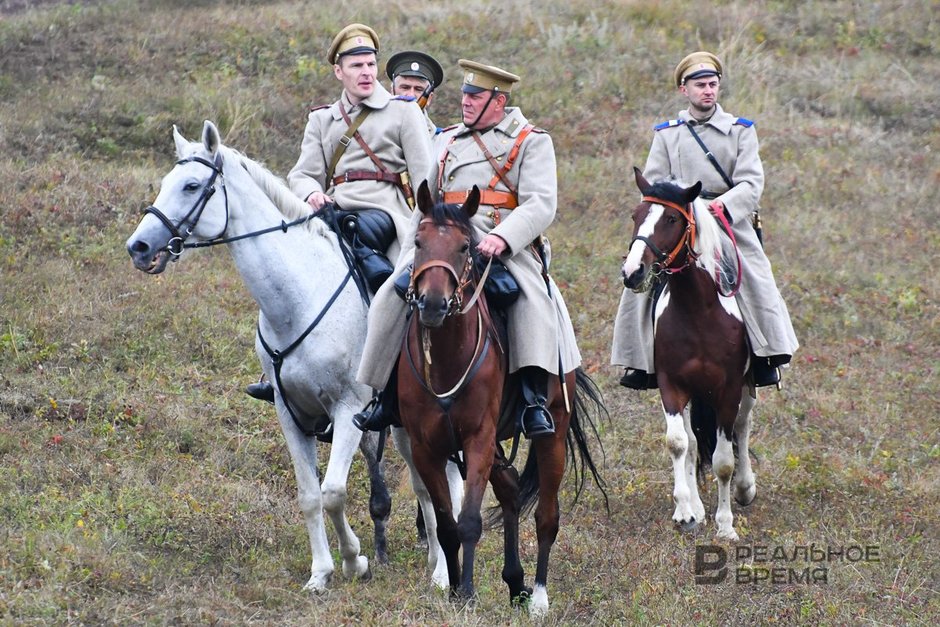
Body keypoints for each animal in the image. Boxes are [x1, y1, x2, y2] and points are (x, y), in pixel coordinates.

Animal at [125, 120, 462, 592]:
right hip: (401, 426)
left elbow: (334, 493)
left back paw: (443, 574)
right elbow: (309, 496)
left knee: (445, 483)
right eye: (165, 183)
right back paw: (435, 561)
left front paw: (355, 560)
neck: (299, 297)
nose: (138, 247)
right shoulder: (290, 413)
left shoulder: (349, 410)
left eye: (192, 185)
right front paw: (321, 573)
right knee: (425, 487)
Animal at [398, 182, 604, 620]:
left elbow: (469, 521)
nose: (433, 305)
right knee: (509, 492)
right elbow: (446, 525)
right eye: (418, 242)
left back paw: (539, 596)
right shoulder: (426, 448)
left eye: (464, 246)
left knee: (546, 516)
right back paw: (515, 583)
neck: (447, 358)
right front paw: (454, 589)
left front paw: (467, 592)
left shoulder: (477, 439)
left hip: (551, 435)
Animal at [624, 169, 756, 544]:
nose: (633, 272)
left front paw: (725, 525)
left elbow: (724, 460)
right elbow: (679, 443)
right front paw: (685, 511)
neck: (699, 311)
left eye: (671, 219)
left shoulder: (728, 390)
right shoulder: (672, 385)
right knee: (695, 441)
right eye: (636, 215)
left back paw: (745, 489)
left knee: (742, 426)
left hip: (746, 387)